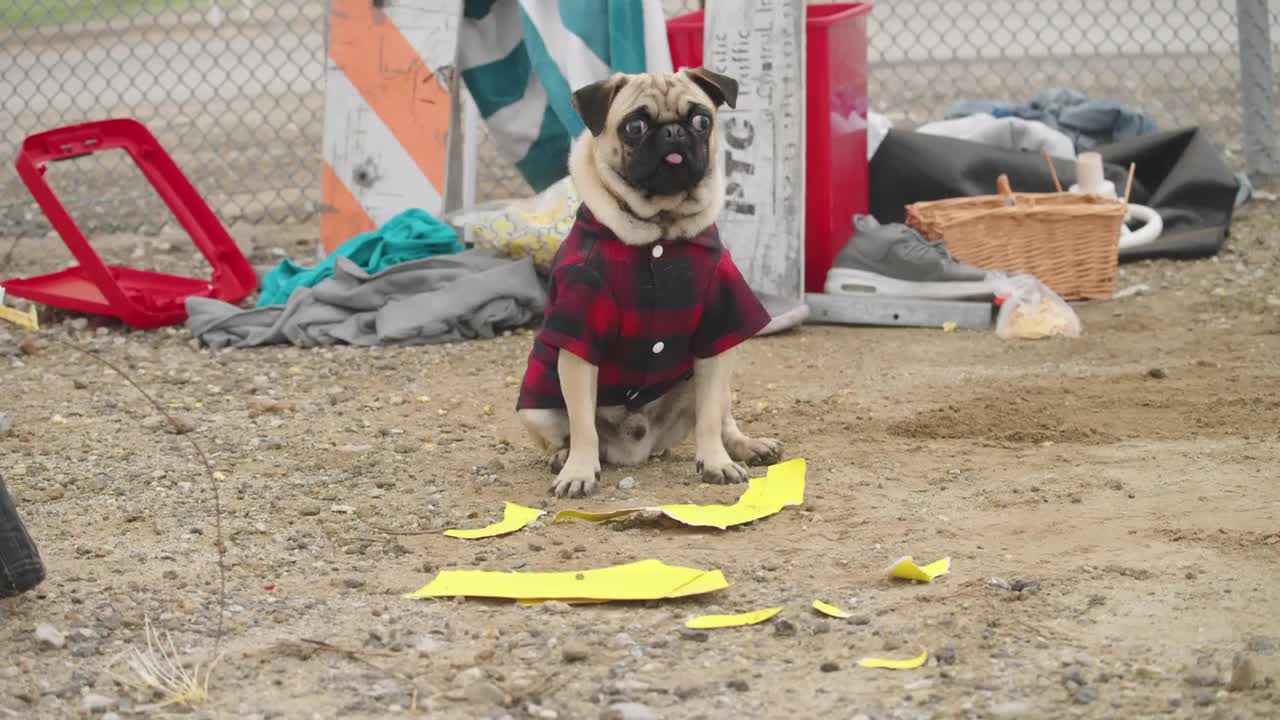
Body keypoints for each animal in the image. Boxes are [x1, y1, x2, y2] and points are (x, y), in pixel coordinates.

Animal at [512, 67, 778, 497]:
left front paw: (716, 462)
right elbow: (582, 426)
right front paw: (578, 470)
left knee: (721, 417)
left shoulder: (718, 329)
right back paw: (562, 458)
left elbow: (708, 420)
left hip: (714, 382)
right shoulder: (579, 336)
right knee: (568, 433)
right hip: (536, 409)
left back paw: (744, 446)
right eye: (634, 127)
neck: (660, 230)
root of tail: (637, 449)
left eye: (702, 120)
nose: (673, 132)